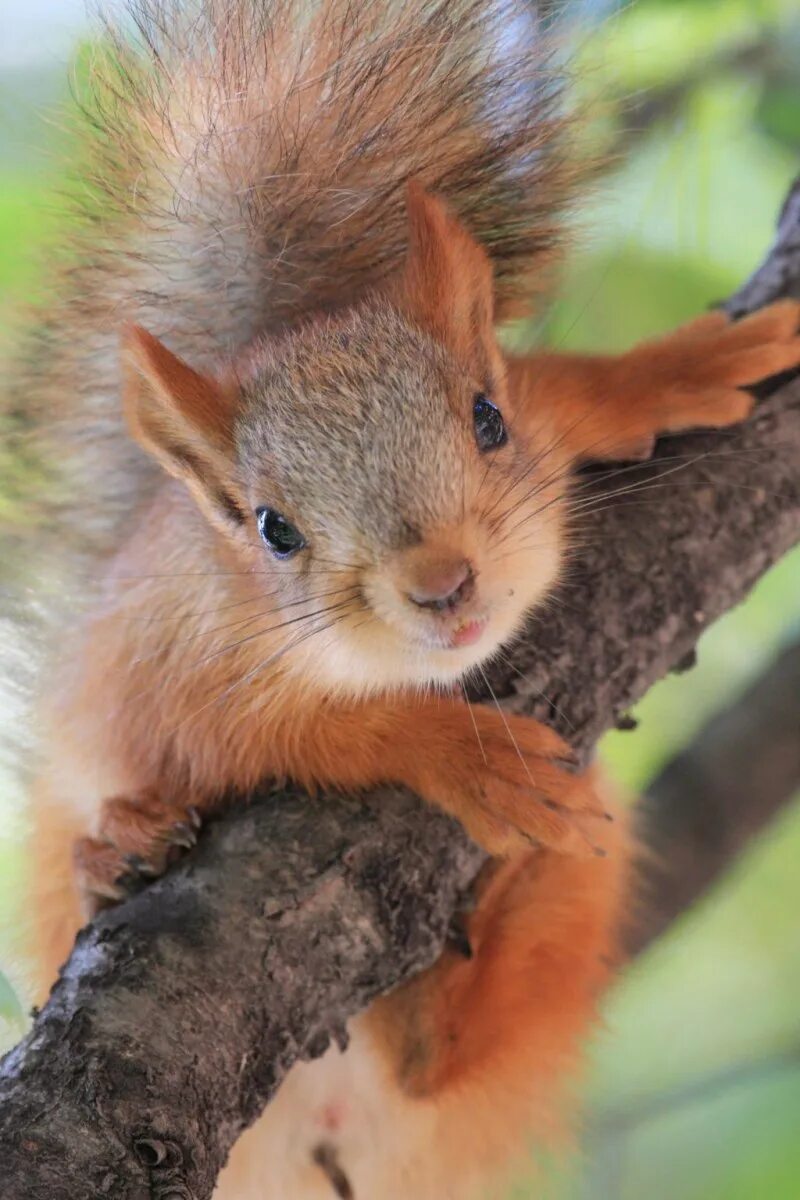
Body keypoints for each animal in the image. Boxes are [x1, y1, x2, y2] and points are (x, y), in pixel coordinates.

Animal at [6, 2, 800, 1200]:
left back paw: (515, 894)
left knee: (443, 1054)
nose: (442, 586)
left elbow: (567, 389)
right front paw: (459, 754)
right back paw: (118, 852)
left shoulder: (534, 409)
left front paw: (665, 371)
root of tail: (317, 1147)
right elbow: (284, 735)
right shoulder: (179, 670)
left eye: (486, 418)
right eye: (272, 529)